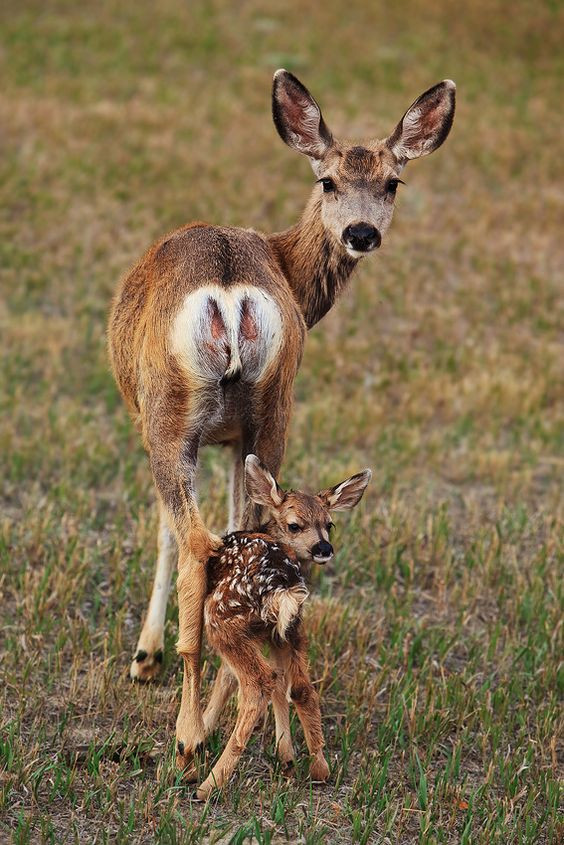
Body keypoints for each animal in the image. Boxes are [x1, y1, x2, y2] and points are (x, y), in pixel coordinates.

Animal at [108, 69, 456, 776]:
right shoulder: (235, 441)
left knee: (199, 542)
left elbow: (163, 530)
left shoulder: (165, 428)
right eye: (328, 180)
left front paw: (144, 659)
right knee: (250, 532)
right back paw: (265, 730)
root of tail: (230, 291)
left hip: (171, 414)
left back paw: (188, 734)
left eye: (393, 182)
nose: (361, 233)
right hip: (271, 410)